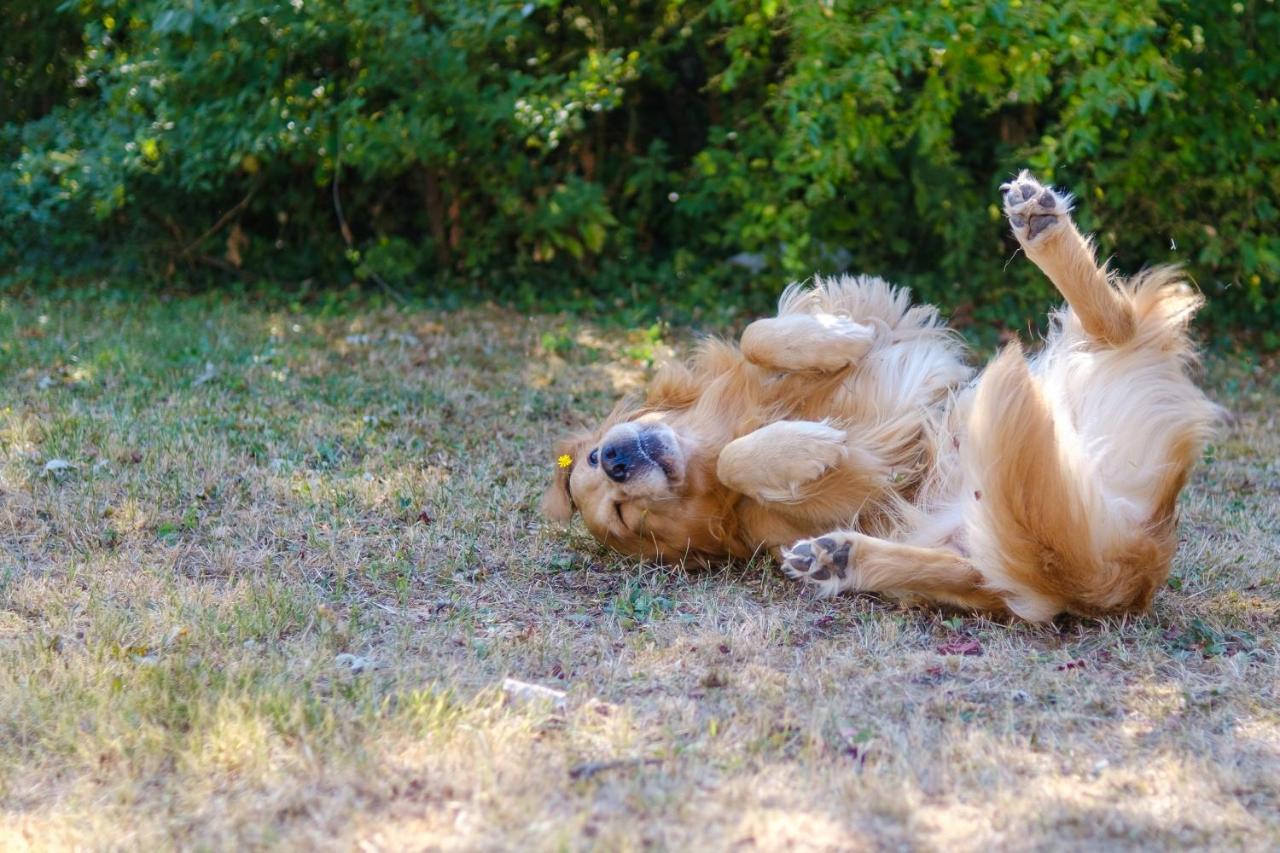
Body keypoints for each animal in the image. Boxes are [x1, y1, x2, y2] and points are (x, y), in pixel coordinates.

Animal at [542, 171, 1218, 617]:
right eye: (625, 518)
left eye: (597, 455)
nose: (617, 461)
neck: (717, 434)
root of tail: (1138, 558)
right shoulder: (849, 485)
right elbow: (747, 463)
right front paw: (801, 448)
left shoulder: (887, 319)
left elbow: (759, 332)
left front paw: (832, 340)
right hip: (1003, 549)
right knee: (1122, 326)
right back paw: (839, 559)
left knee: (1118, 320)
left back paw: (1038, 222)